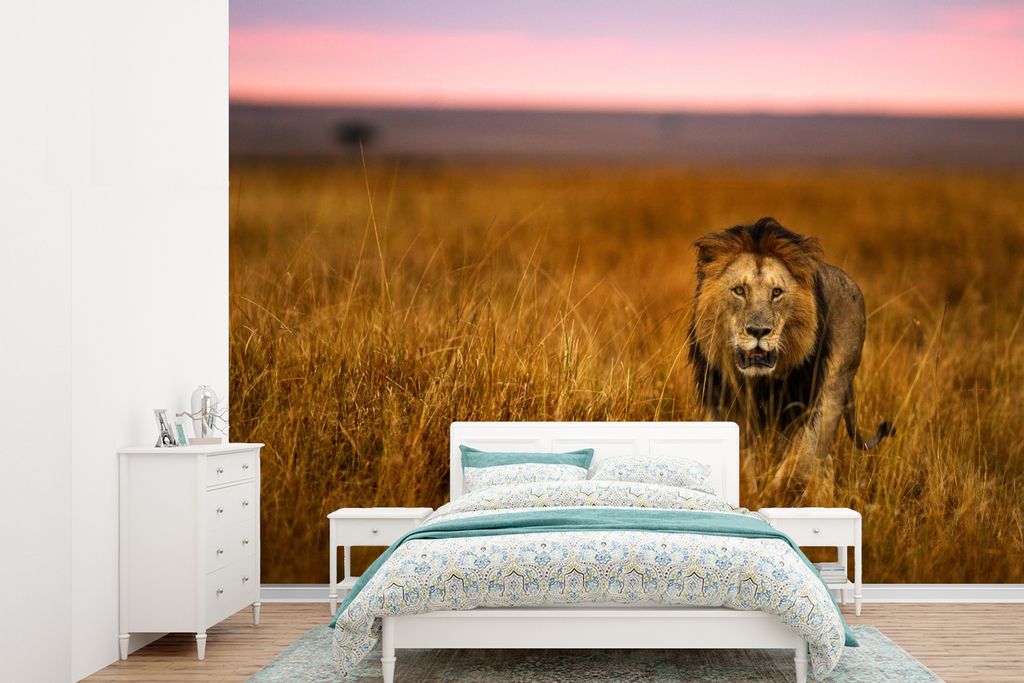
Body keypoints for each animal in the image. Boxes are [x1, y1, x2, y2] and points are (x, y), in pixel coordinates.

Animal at [688, 217, 894, 477]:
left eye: (776, 292)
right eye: (739, 290)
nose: (758, 331)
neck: (759, 382)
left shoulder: (805, 403)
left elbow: (800, 457)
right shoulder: (724, 402)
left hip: (834, 387)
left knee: (820, 459)